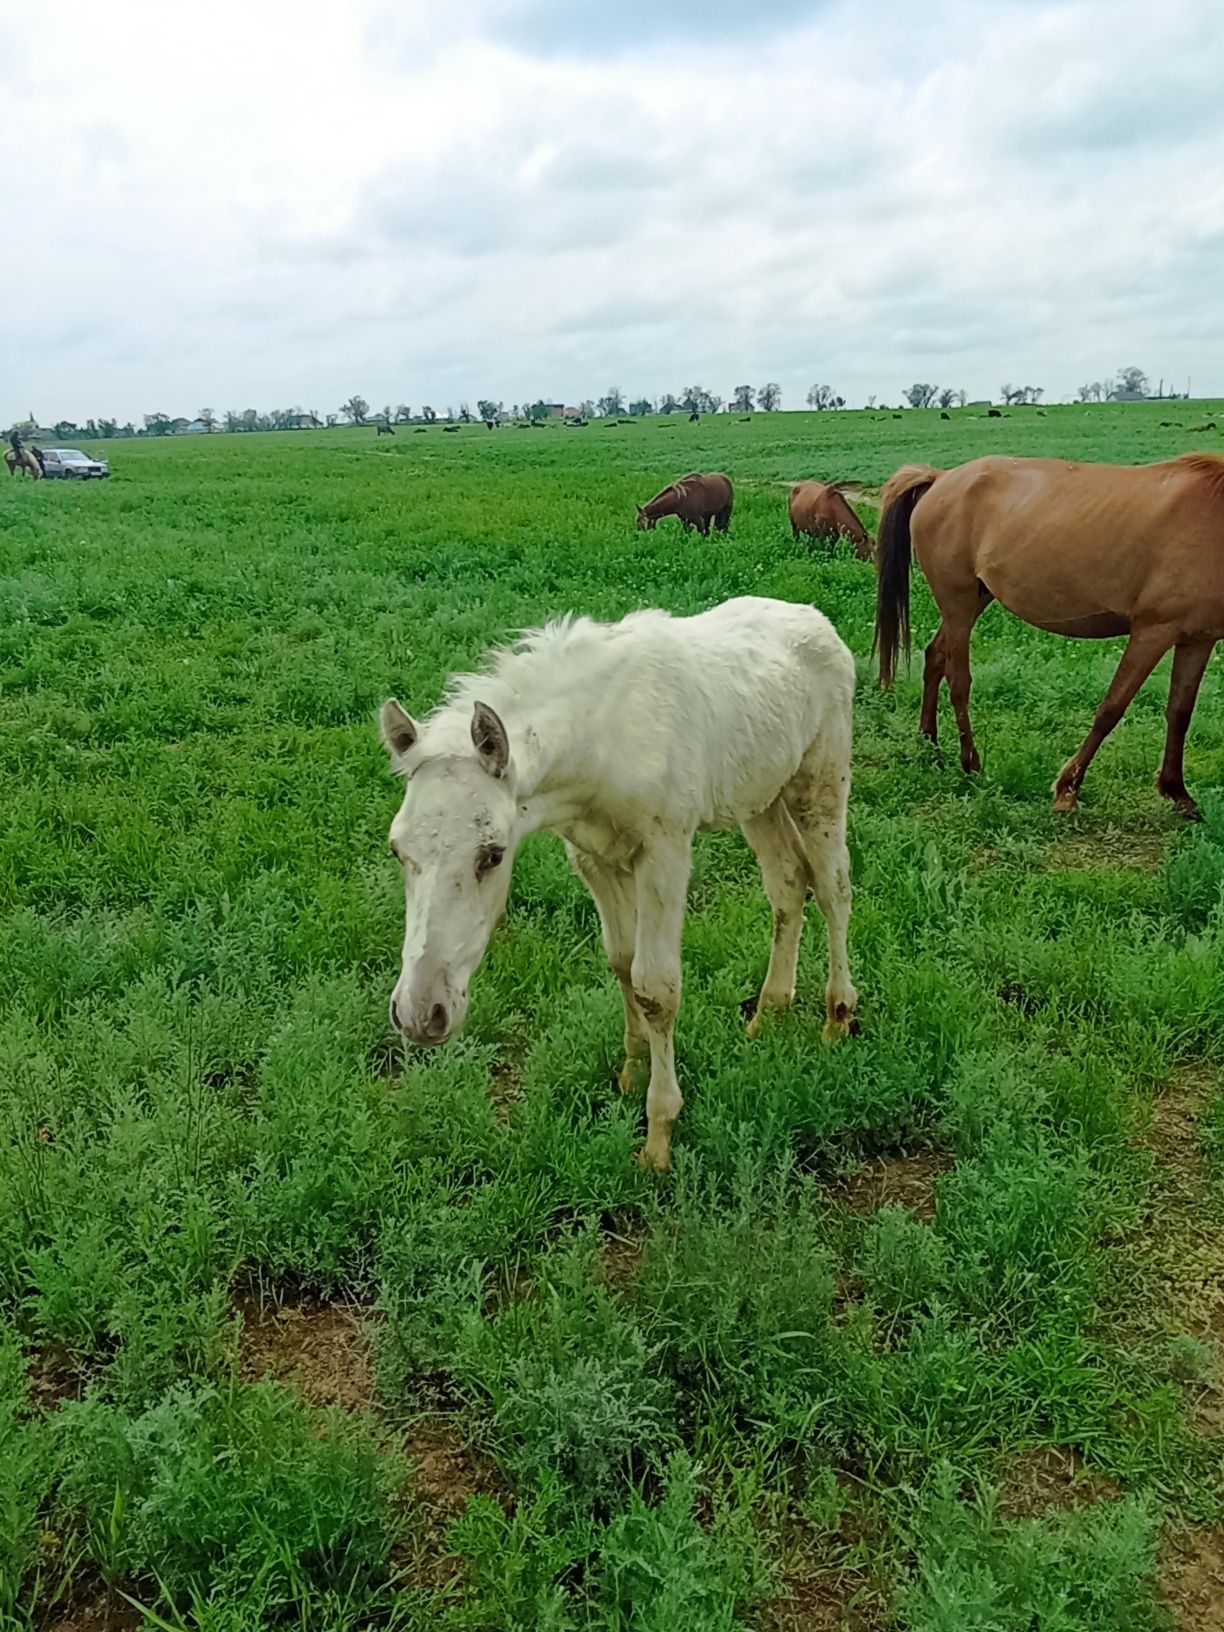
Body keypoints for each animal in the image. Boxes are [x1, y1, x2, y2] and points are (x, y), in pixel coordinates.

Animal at [378, 600, 855, 1175]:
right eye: (397, 850)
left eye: (492, 855)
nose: (420, 1014)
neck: (599, 743)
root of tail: (817, 620)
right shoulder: (592, 856)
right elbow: (622, 961)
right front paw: (631, 1072)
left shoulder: (665, 853)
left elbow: (657, 988)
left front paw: (660, 1134)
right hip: (760, 796)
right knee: (787, 882)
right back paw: (769, 1013)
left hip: (820, 778)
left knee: (833, 886)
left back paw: (837, 1018)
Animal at [874, 453, 1224, 816]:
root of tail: (941, 478)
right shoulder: (1153, 631)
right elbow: (1111, 708)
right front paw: (1067, 790)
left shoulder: (1197, 640)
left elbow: (1180, 713)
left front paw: (1177, 792)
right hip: (958, 603)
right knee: (958, 680)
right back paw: (970, 762)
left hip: (974, 600)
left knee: (934, 658)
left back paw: (929, 744)